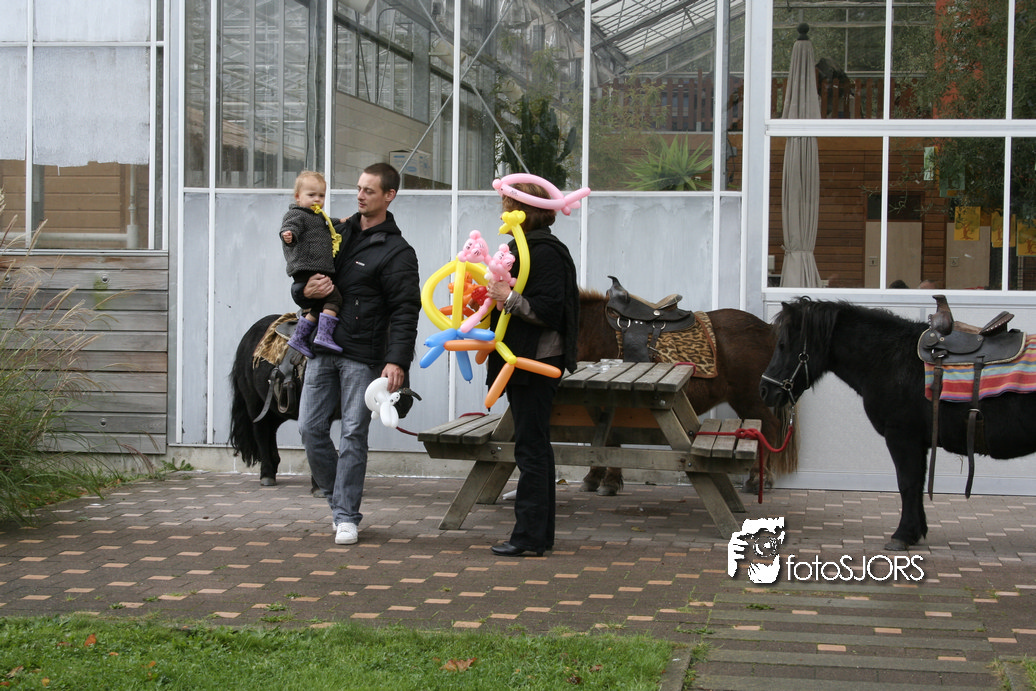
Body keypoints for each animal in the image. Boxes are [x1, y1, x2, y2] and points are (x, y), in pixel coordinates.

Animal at [577, 288, 796, 495]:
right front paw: (594, 477)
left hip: (749, 398)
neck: (591, 330)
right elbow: (600, 439)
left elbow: (610, 440)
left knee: (769, 427)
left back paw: (757, 478)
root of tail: (767, 330)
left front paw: (609, 482)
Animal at [758, 297, 1036, 551]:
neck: (890, 358)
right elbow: (917, 483)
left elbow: (907, 483)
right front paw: (916, 531)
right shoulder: (918, 442)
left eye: (783, 345)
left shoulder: (902, 437)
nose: (765, 390)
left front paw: (903, 534)